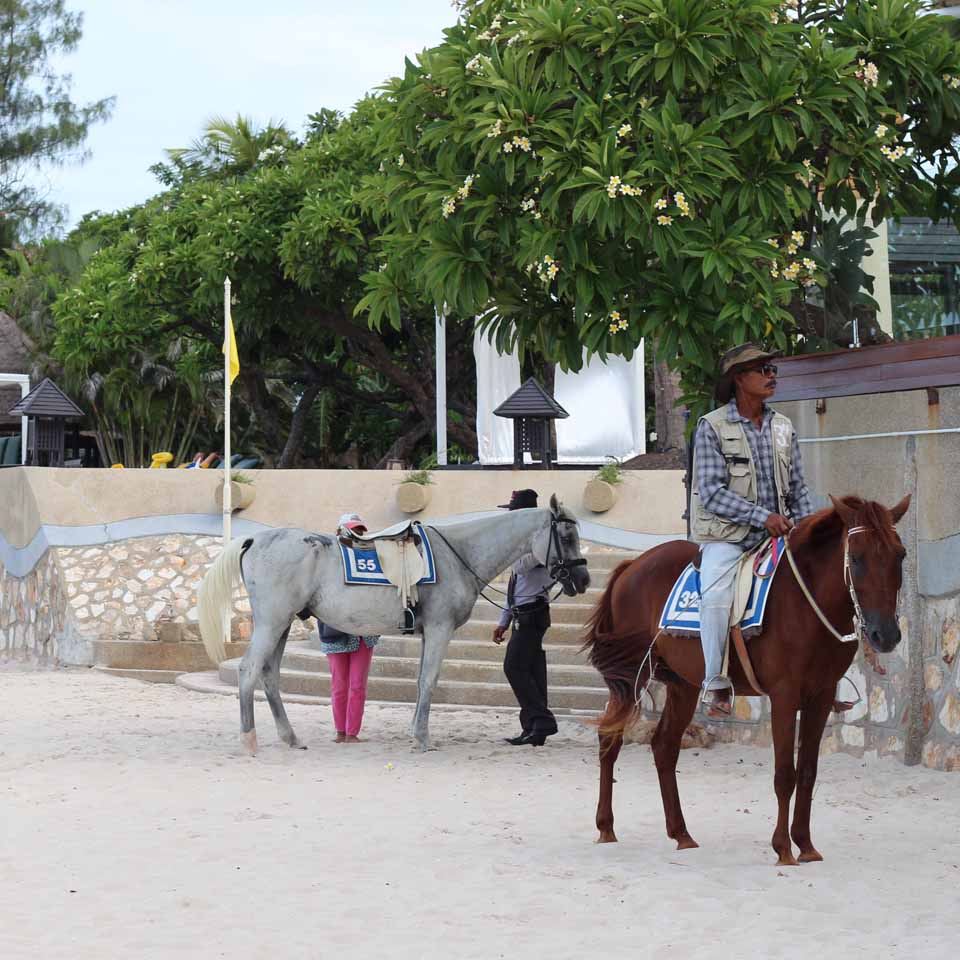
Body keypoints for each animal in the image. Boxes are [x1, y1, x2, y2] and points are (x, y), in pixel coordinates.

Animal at [196, 498, 588, 752]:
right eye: (567, 537)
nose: (583, 579)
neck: (457, 554)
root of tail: (255, 539)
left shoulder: (429, 633)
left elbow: (420, 681)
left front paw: (415, 731)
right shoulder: (441, 629)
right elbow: (429, 680)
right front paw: (423, 739)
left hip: (282, 624)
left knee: (270, 676)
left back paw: (290, 738)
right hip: (272, 623)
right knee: (249, 671)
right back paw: (249, 740)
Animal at [584, 498, 908, 868]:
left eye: (900, 555)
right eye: (855, 557)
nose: (886, 634)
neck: (804, 602)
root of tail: (631, 566)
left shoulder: (821, 697)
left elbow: (808, 771)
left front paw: (805, 844)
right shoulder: (784, 696)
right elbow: (785, 774)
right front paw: (783, 848)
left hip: (684, 684)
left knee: (664, 747)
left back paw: (681, 834)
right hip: (630, 677)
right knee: (609, 739)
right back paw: (606, 826)